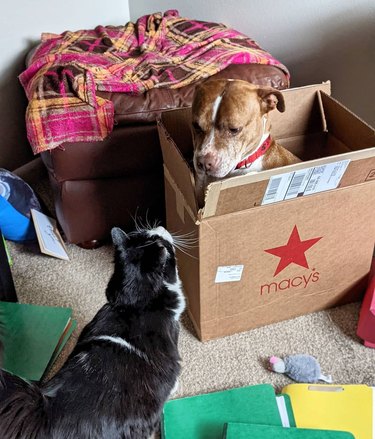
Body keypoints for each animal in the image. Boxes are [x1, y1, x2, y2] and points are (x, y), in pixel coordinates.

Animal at [0, 227, 186, 439]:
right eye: (158, 239)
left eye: (145, 232)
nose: (160, 228)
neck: (134, 303)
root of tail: (49, 414)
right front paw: (176, 386)